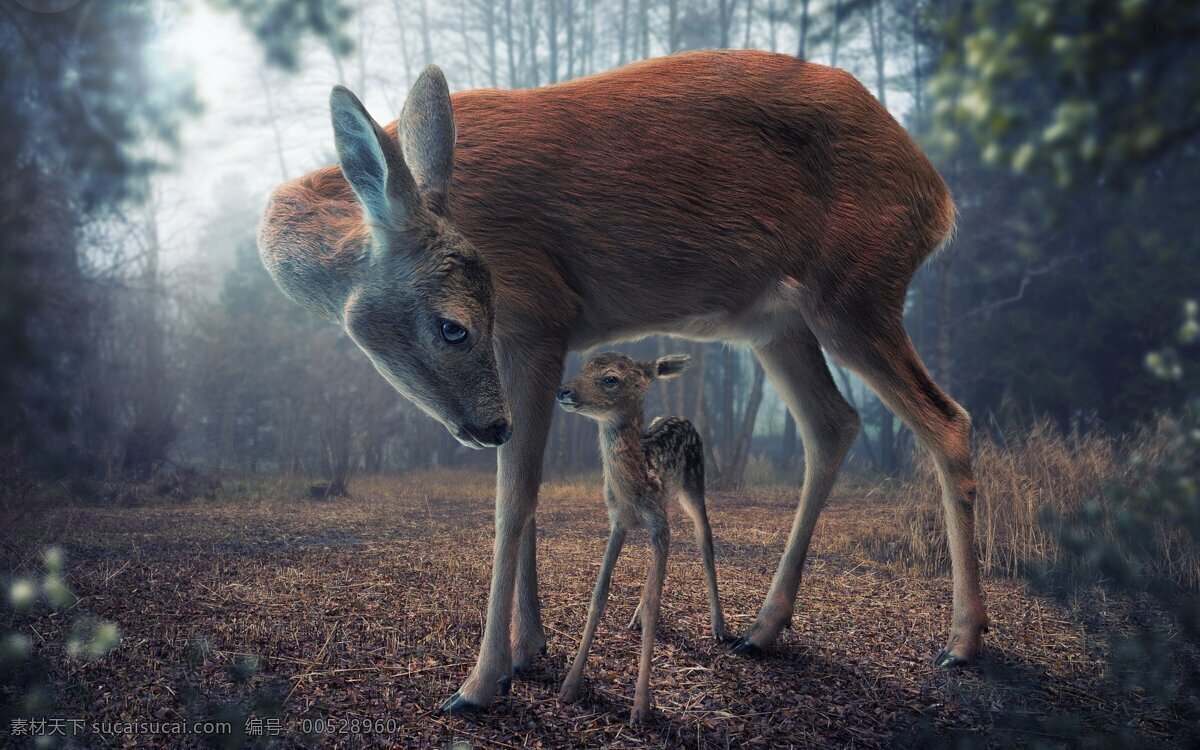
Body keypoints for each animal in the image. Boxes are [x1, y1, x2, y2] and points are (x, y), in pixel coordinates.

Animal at [555, 351, 729, 723]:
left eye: (610, 378)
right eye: (584, 366)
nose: (563, 390)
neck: (634, 487)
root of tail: (682, 417)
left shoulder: (658, 522)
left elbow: (656, 605)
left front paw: (640, 706)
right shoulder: (618, 522)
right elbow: (599, 594)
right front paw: (570, 686)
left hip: (694, 486)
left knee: (704, 540)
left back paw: (719, 626)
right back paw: (635, 617)